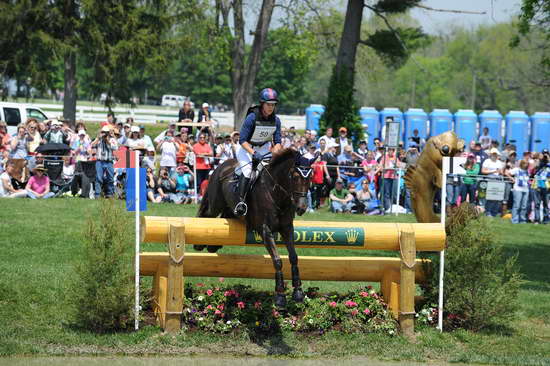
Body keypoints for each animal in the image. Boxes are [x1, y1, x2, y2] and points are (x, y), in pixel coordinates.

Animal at [198, 147, 320, 308]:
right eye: (294, 177)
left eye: (310, 177)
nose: (301, 208)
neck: (276, 194)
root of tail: (223, 164)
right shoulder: (265, 230)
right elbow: (277, 260)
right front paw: (280, 297)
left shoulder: (287, 228)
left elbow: (294, 257)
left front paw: (298, 292)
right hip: (215, 203)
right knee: (206, 214)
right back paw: (199, 245)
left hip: (230, 208)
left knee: (226, 216)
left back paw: (214, 246)